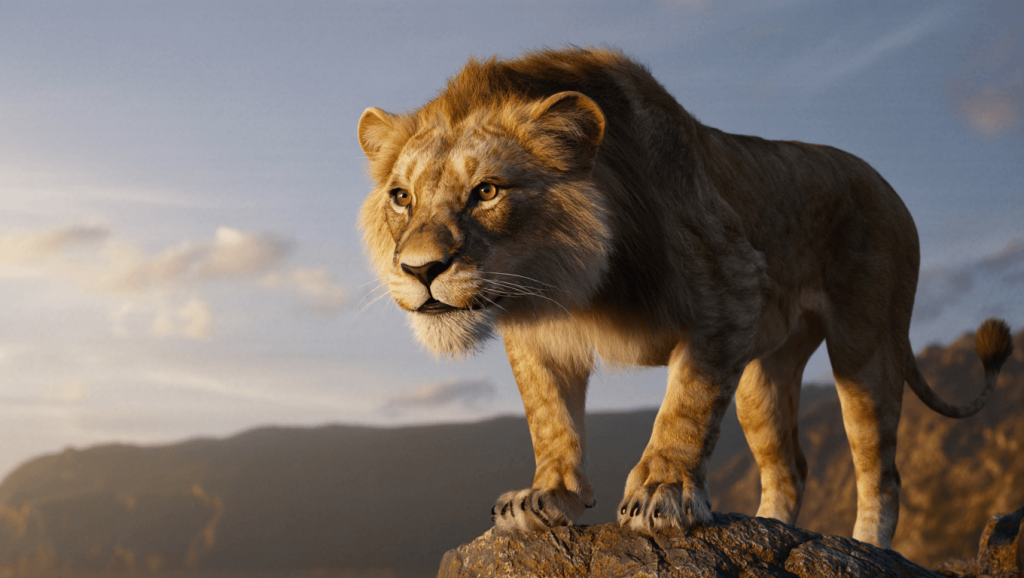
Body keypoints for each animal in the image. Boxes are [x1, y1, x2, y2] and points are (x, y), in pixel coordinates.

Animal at [356, 47, 1013, 549]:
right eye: (401, 198)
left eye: (487, 191)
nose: (419, 270)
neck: (572, 283)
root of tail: (888, 186)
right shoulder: (536, 333)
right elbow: (550, 416)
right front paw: (549, 495)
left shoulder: (732, 287)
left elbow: (685, 406)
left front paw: (660, 493)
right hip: (761, 377)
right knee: (789, 466)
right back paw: (769, 528)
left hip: (865, 344)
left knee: (881, 470)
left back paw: (868, 545)